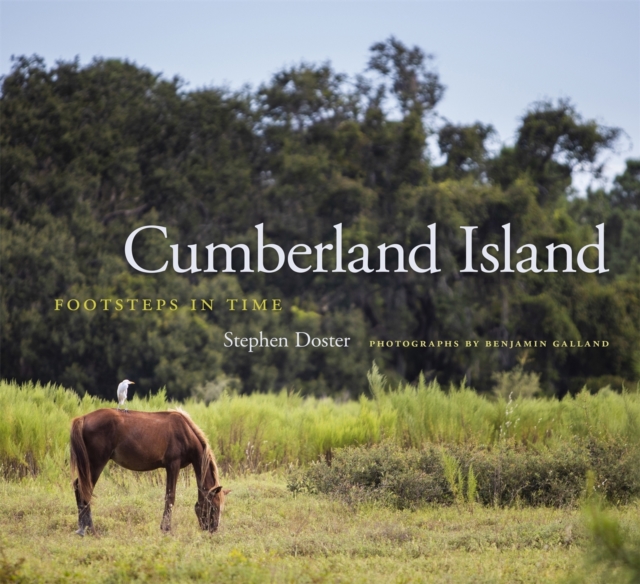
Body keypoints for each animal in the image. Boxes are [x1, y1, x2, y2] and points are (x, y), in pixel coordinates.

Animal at [69, 408, 229, 536]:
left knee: (78, 487)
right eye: (214, 506)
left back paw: (82, 528)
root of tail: (83, 418)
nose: (213, 530)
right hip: (96, 464)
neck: (185, 432)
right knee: (85, 490)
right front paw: (166, 529)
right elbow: (170, 497)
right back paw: (90, 530)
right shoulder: (173, 465)